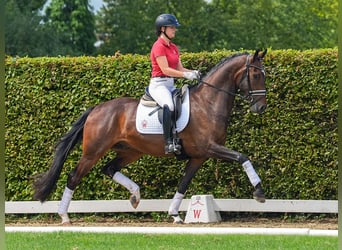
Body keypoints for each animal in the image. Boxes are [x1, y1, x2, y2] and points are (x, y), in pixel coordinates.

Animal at [32, 49, 268, 225]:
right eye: (256, 75)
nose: (260, 107)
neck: (208, 103)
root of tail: (97, 108)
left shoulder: (199, 156)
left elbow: (183, 183)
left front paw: (174, 214)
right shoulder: (210, 147)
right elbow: (243, 157)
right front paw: (259, 192)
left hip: (130, 151)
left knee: (109, 169)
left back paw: (135, 196)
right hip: (93, 151)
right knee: (74, 176)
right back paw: (64, 215)